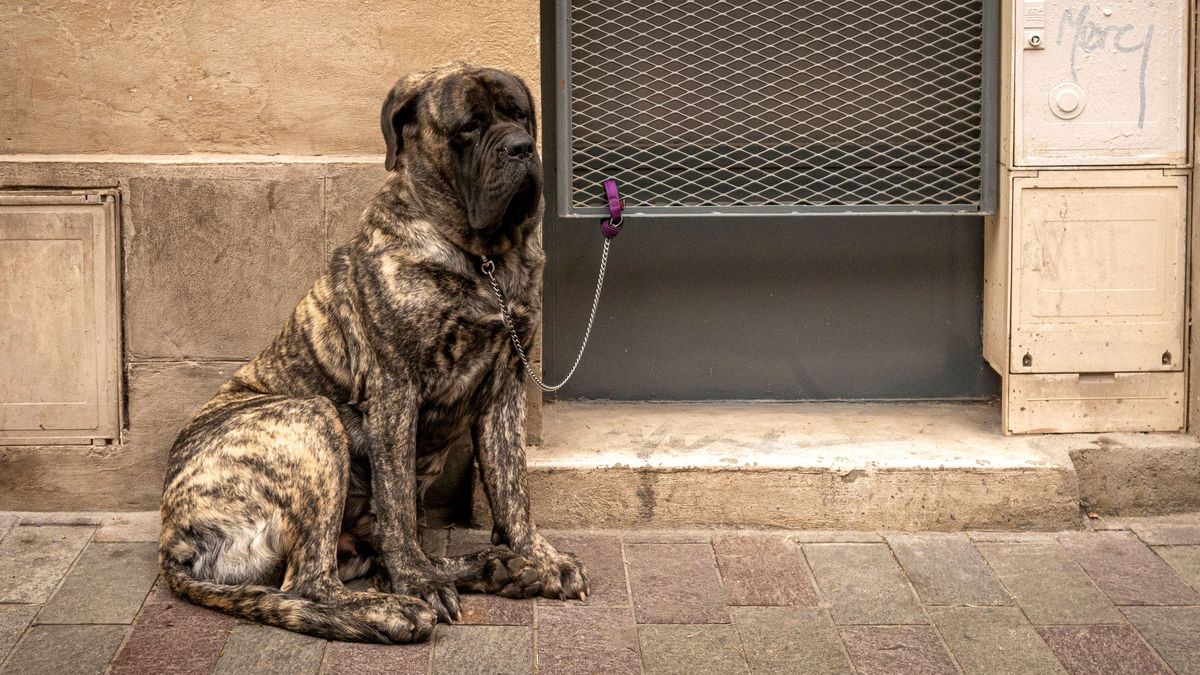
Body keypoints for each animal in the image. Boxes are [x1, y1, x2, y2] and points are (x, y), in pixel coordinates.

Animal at [159, 61, 590, 638]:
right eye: (469, 128)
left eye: (520, 115)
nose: (521, 148)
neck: (482, 258)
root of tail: (171, 541)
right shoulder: (395, 390)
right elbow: (398, 500)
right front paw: (419, 584)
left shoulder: (505, 384)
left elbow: (512, 485)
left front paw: (539, 558)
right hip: (309, 420)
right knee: (311, 583)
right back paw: (396, 607)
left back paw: (496, 567)